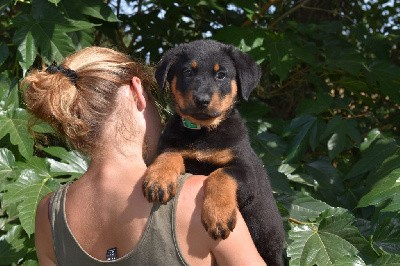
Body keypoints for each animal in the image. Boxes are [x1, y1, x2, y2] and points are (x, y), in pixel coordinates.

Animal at [144, 39, 284, 264]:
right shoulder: (171, 146)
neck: (203, 132)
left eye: (221, 75)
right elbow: (169, 154)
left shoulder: (245, 169)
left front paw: (217, 216)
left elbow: (220, 175)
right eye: (188, 72)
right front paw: (159, 180)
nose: (202, 99)